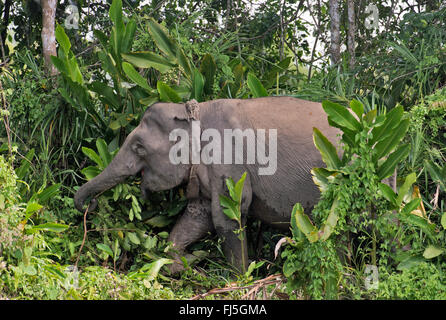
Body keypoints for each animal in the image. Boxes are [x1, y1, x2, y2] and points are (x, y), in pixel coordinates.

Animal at [76, 95, 342, 272]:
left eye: (139, 147)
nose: (91, 204)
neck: (196, 113)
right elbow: (197, 216)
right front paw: (181, 265)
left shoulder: (229, 163)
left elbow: (227, 214)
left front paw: (240, 279)